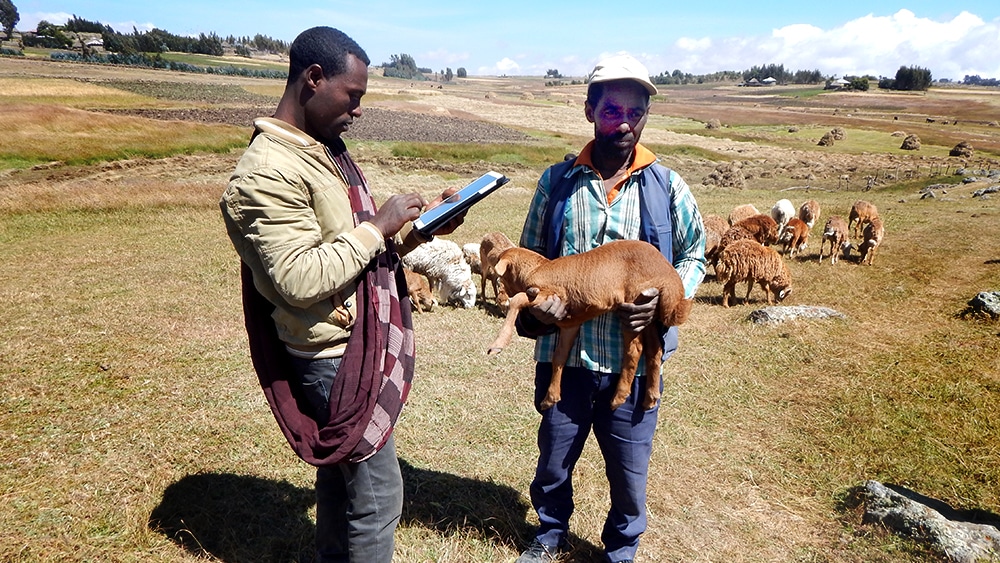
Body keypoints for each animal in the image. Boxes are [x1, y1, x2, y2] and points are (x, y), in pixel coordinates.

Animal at [482, 240, 688, 412]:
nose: (502, 294)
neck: (538, 269)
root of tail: (669, 274)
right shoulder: (569, 323)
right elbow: (559, 356)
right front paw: (550, 398)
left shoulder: (548, 294)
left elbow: (517, 300)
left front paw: (497, 344)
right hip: (649, 314)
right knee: (655, 350)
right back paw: (651, 397)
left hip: (634, 304)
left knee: (634, 349)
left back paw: (619, 397)